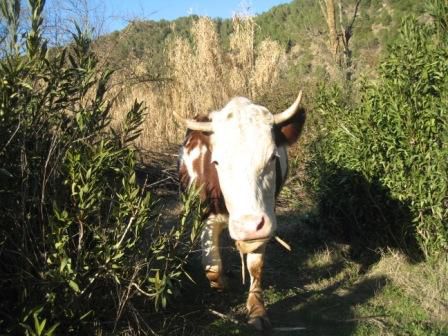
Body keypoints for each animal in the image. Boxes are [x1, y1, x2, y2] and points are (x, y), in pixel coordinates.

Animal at [177, 92, 306, 330]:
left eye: (272, 157)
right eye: (216, 162)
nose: (247, 226)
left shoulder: (264, 218)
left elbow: (255, 265)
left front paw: (257, 310)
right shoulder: (207, 217)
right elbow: (212, 268)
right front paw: (223, 283)